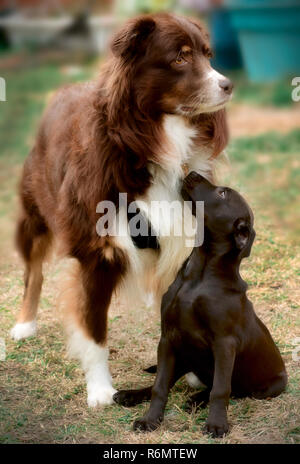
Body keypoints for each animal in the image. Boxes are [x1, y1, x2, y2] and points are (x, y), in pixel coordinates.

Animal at [11, 12, 232, 408]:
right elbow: (94, 331)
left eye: (208, 55)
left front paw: (193, 372)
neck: (155, 141)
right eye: (180, 58)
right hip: (34, 208)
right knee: (33, 270)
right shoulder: (97, 253)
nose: (229, 85)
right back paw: (24, 324)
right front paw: (100, 391)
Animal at [113, 172, 288, 436]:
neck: (199, 275)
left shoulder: (225, 344)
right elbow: (159, 386)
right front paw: (150, 420)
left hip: (265, 387)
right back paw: (130, 395)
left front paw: (216, 424)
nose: (193, 173)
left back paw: (197, 399)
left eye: (222, 193)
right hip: (184, 355)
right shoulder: (168, 338)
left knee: (234, 388)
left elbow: (221, 389)